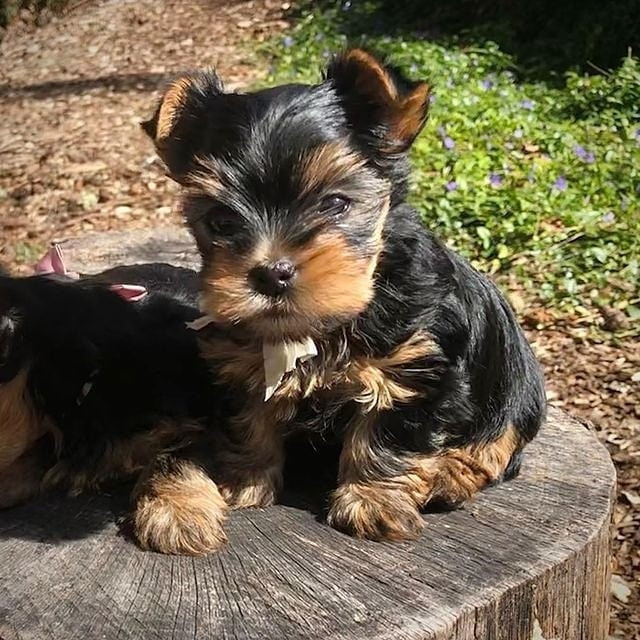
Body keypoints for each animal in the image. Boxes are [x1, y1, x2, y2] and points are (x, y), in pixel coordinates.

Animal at [144, 48, 544, 540]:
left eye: (335, 203)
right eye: (220, 221)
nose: (272, 272)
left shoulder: (417, 368)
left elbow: (387, 433)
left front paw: (372, 501)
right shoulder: (240, 365)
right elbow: (249, 420)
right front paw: (242, 481)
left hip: (516, 390)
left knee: (498, 444)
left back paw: (449, 475)